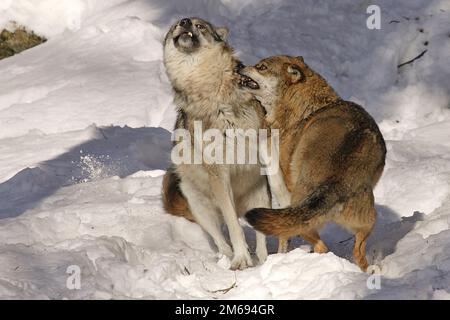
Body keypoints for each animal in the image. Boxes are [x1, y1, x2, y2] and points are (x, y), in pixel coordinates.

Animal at [239, 55, 386, 270]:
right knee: (357, 253)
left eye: (261, 67)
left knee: (320, 246)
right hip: (368, 222)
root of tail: (335, 184)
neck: (309, 106)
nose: (239, 67)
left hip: (302, 221)